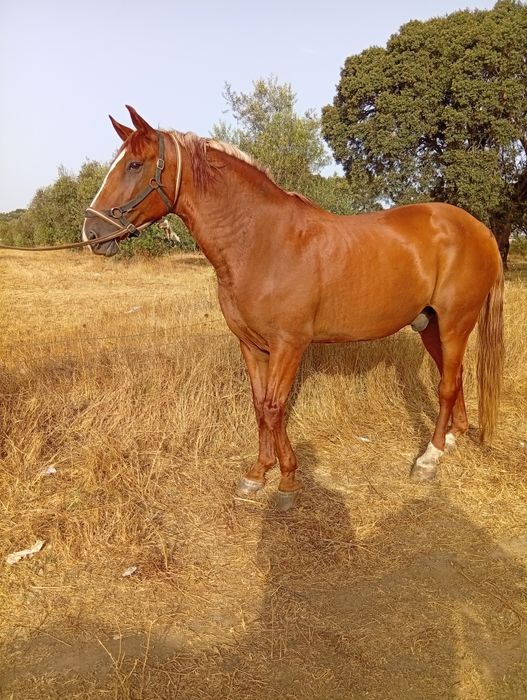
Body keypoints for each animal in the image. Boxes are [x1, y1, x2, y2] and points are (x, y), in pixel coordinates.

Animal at [82, 106, 504, 510]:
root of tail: (480, 230)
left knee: (446, 385)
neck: (262, 241)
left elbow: (274, 407)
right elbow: (259, 407)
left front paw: (287, 480)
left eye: (135, 165)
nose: (92, 232)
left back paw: (429, 458)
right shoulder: (251, 345)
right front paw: (257, 474)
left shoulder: (289, 345)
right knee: (454, 377)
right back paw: (452, 438)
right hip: (430, 326)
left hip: (454, 323)